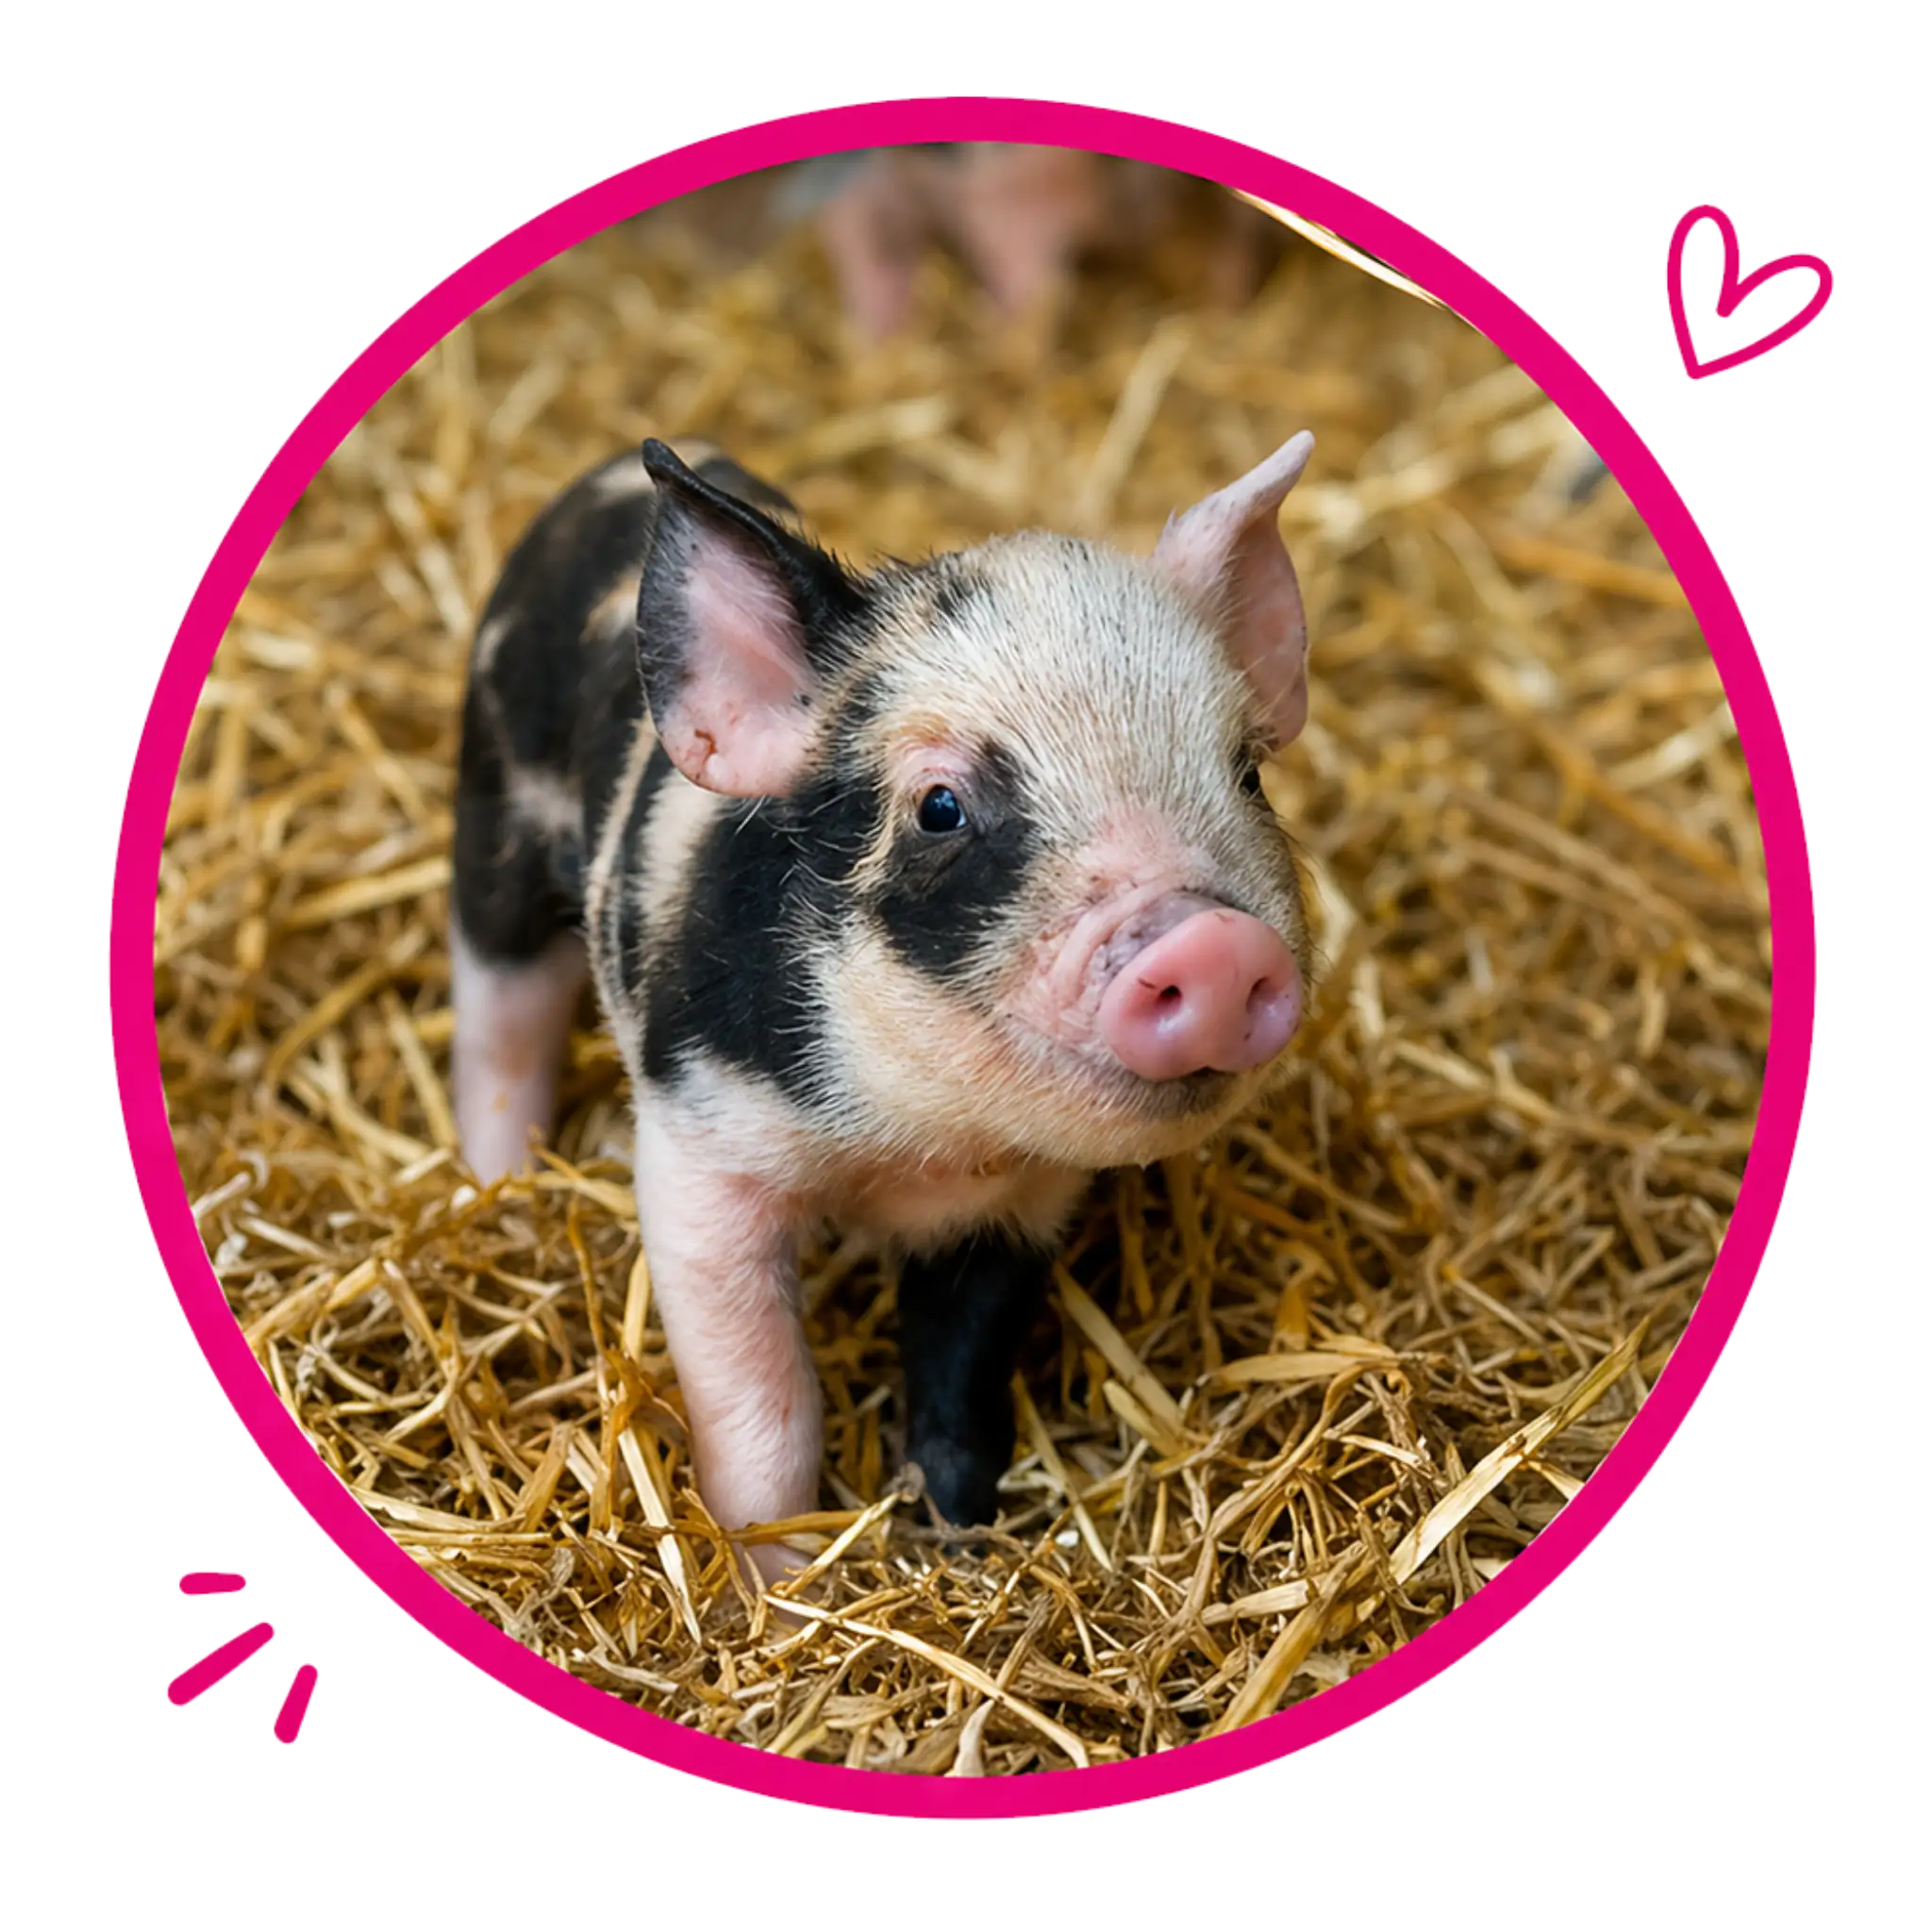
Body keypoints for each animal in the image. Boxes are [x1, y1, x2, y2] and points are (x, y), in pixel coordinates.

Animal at [450, 430, 1317, 1583]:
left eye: (1247, 772)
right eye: (940, 808)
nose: (1215, 945)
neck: (909, 1144)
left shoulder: (1016, 1208)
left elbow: (961, 1396)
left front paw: (957, 1551)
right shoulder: (698, 1151)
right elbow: (763, 1413)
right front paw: (773, 1588)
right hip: (491, 817)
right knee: (499, 1031)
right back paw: (497, 1192)